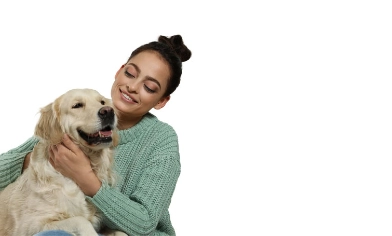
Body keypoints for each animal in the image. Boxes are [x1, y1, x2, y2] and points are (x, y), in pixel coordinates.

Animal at [0, 88, 125, 236]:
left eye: (102, 102)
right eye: (77, 105)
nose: (108, 111)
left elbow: (121, 232)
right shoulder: (30, 226)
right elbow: (81, 220)